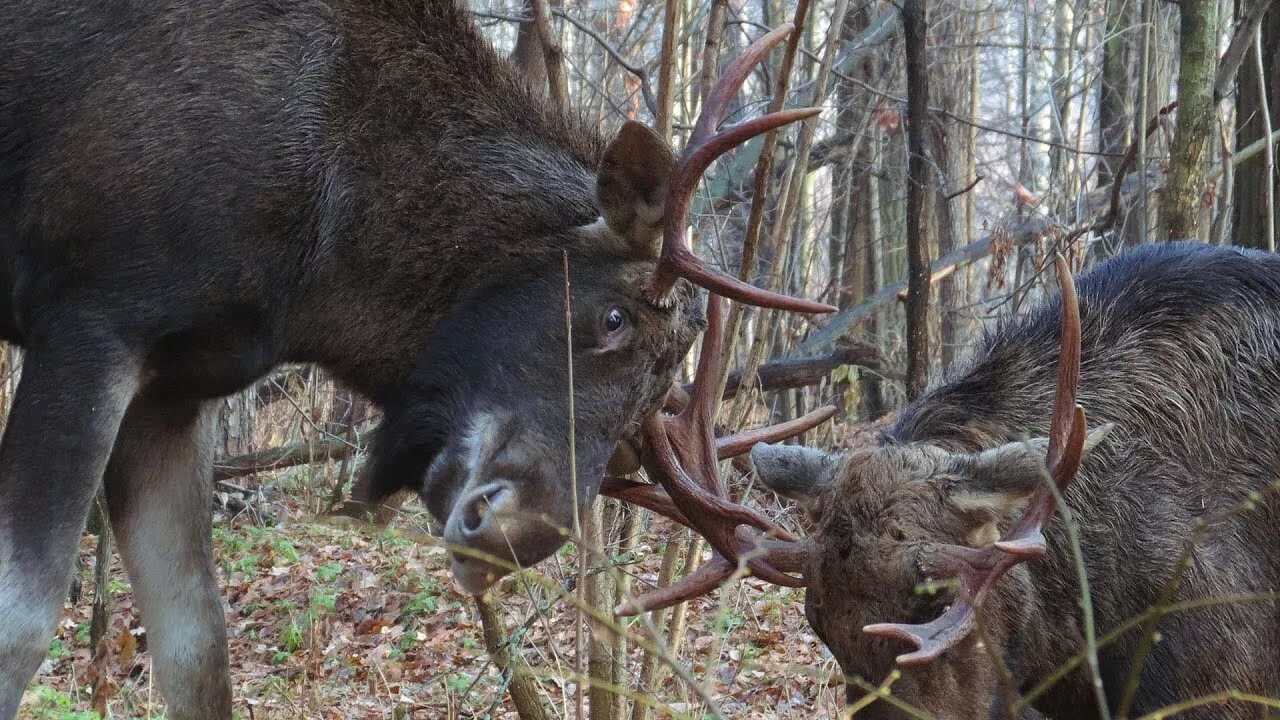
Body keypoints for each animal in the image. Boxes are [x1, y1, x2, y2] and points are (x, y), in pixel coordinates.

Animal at [0, 2, 829, 712]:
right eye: (612, 318)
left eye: (633, 436)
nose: (513, 538)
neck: (318, 261)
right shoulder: (91, 320)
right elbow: (24, 624)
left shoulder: (179, 386)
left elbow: (197, 648)